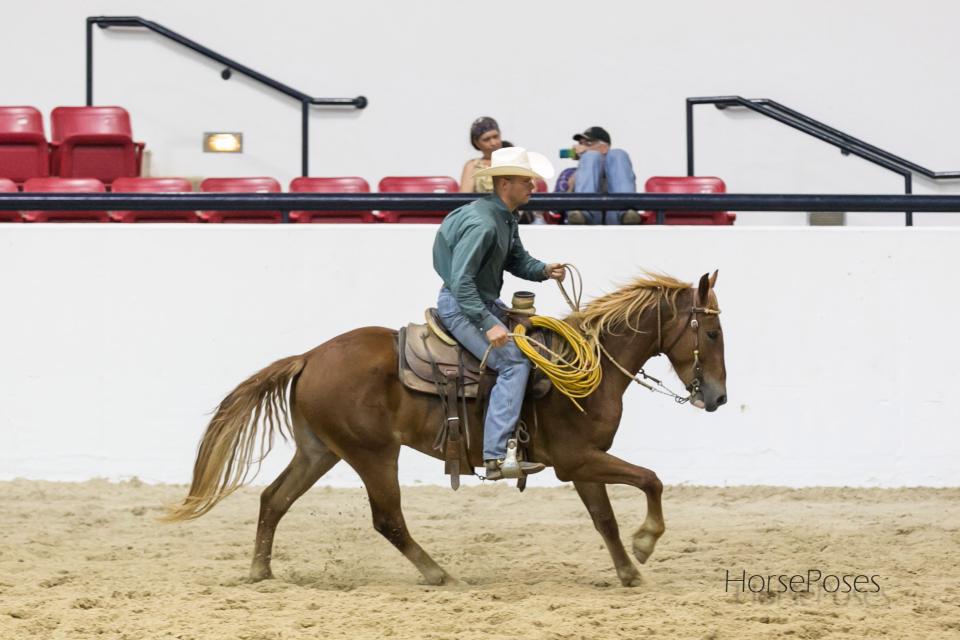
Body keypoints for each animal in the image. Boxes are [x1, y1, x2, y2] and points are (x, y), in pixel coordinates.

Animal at [163, 268, 728, 588]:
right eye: (713, 332)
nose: (719, 397)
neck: (590, 370)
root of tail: (309, 356)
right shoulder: (577, 460)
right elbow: (651, 478)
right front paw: (646, 543)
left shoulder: (585, 464)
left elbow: (605, 520)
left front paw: (630, 571)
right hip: (372, 453)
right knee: (387, 519)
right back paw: (439, 573)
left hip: (319, 450)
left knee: (273, 499)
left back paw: (261, 572)